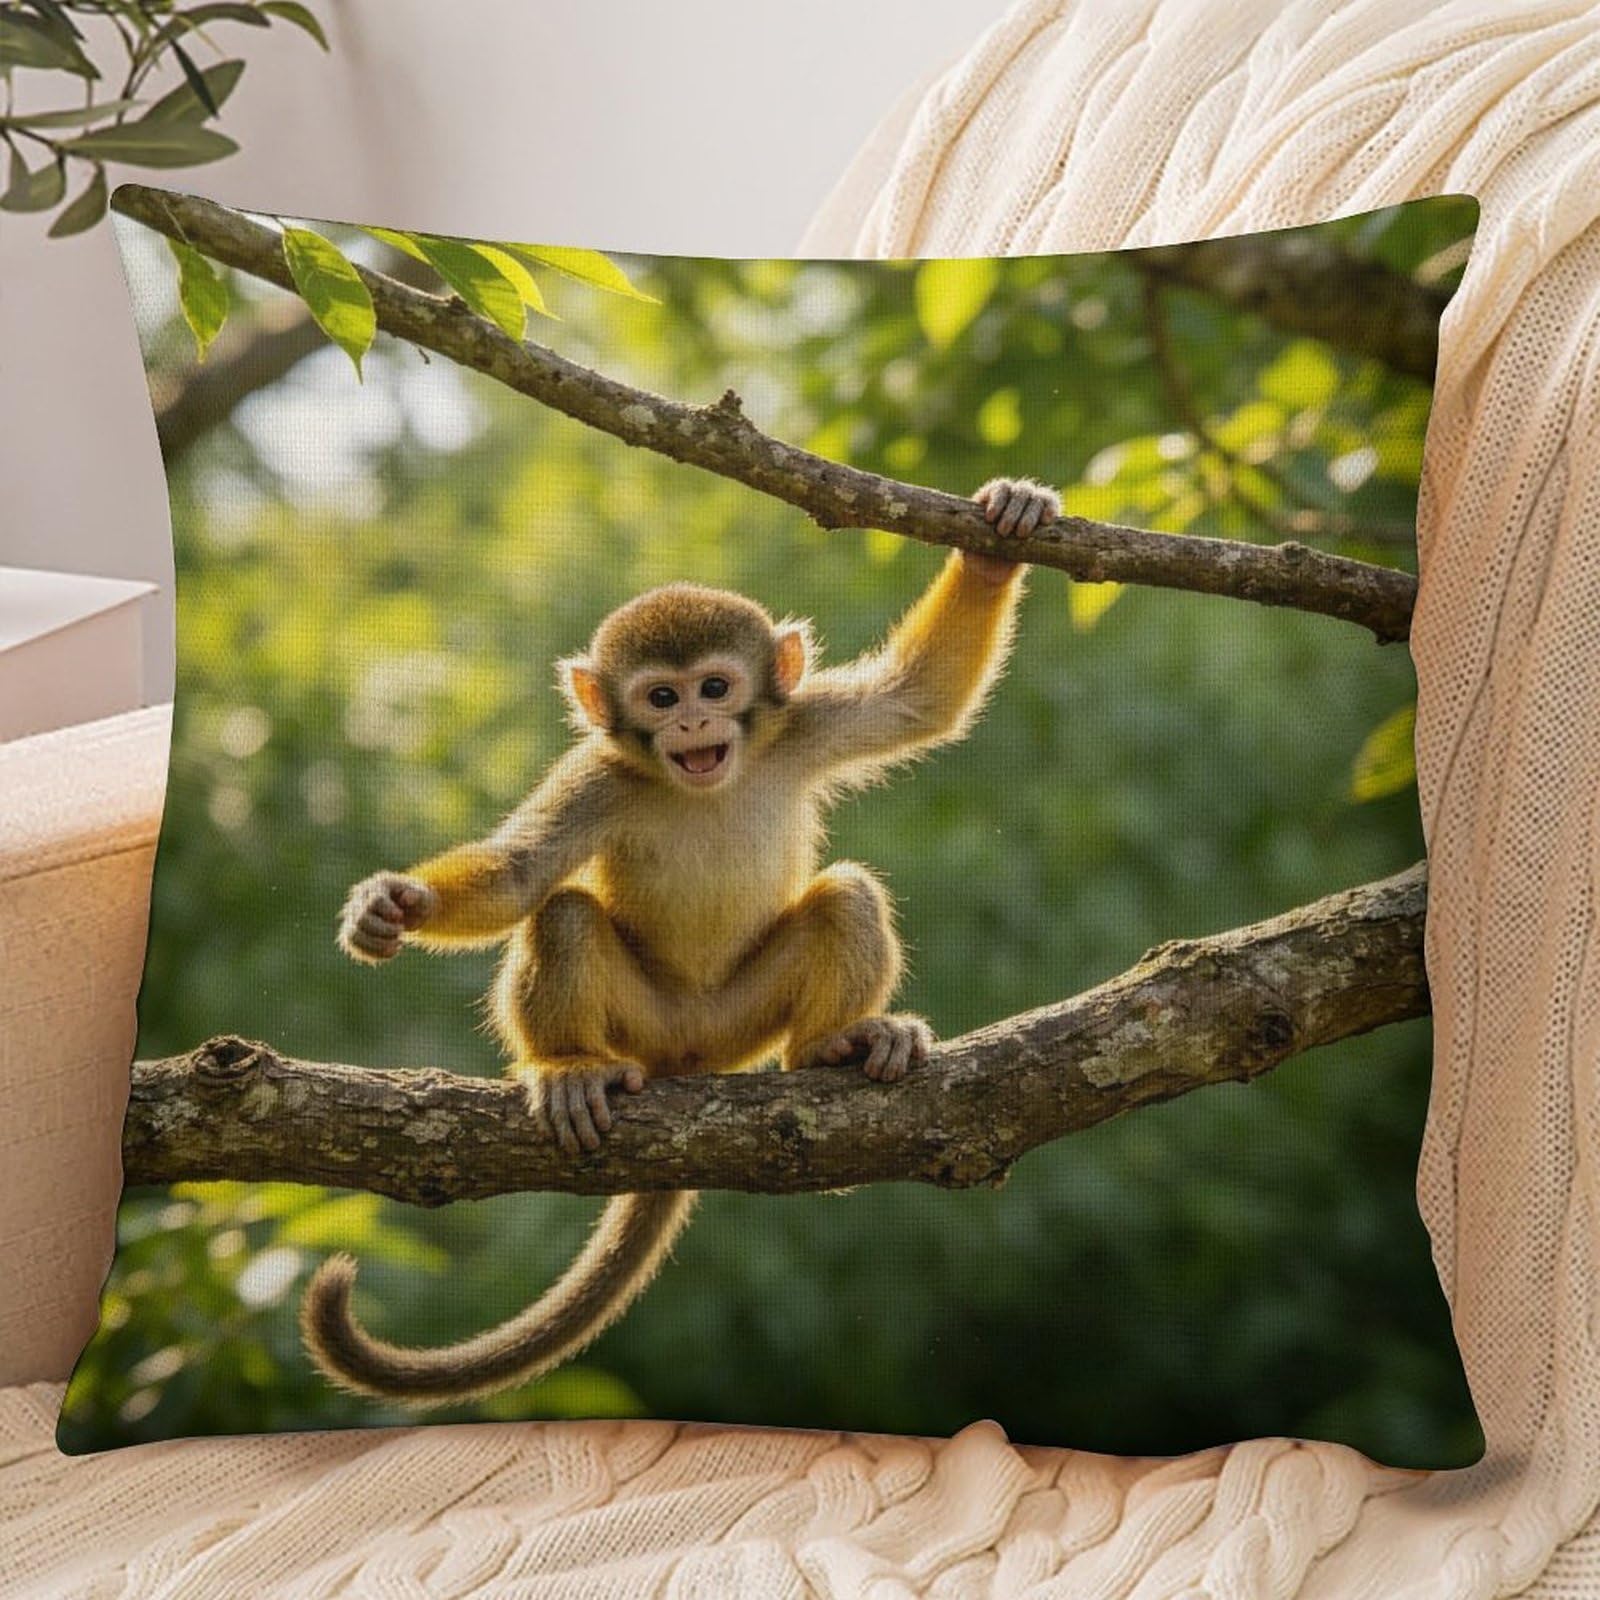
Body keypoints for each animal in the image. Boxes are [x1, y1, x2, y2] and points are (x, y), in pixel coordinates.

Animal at [300, 477, 1059, 1405]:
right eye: (662, 698)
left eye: (715, 686)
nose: (695, 726)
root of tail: (687, 1058)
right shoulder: (595, 773)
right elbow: (521, 876)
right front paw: (393, 905)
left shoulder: (800, 725)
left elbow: (921, 699)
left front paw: (999, 539)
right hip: (645, 1024)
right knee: (564, 912)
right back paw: (567, 1066)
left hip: (742, 1025)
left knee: (845, 895)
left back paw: (832, 1046)